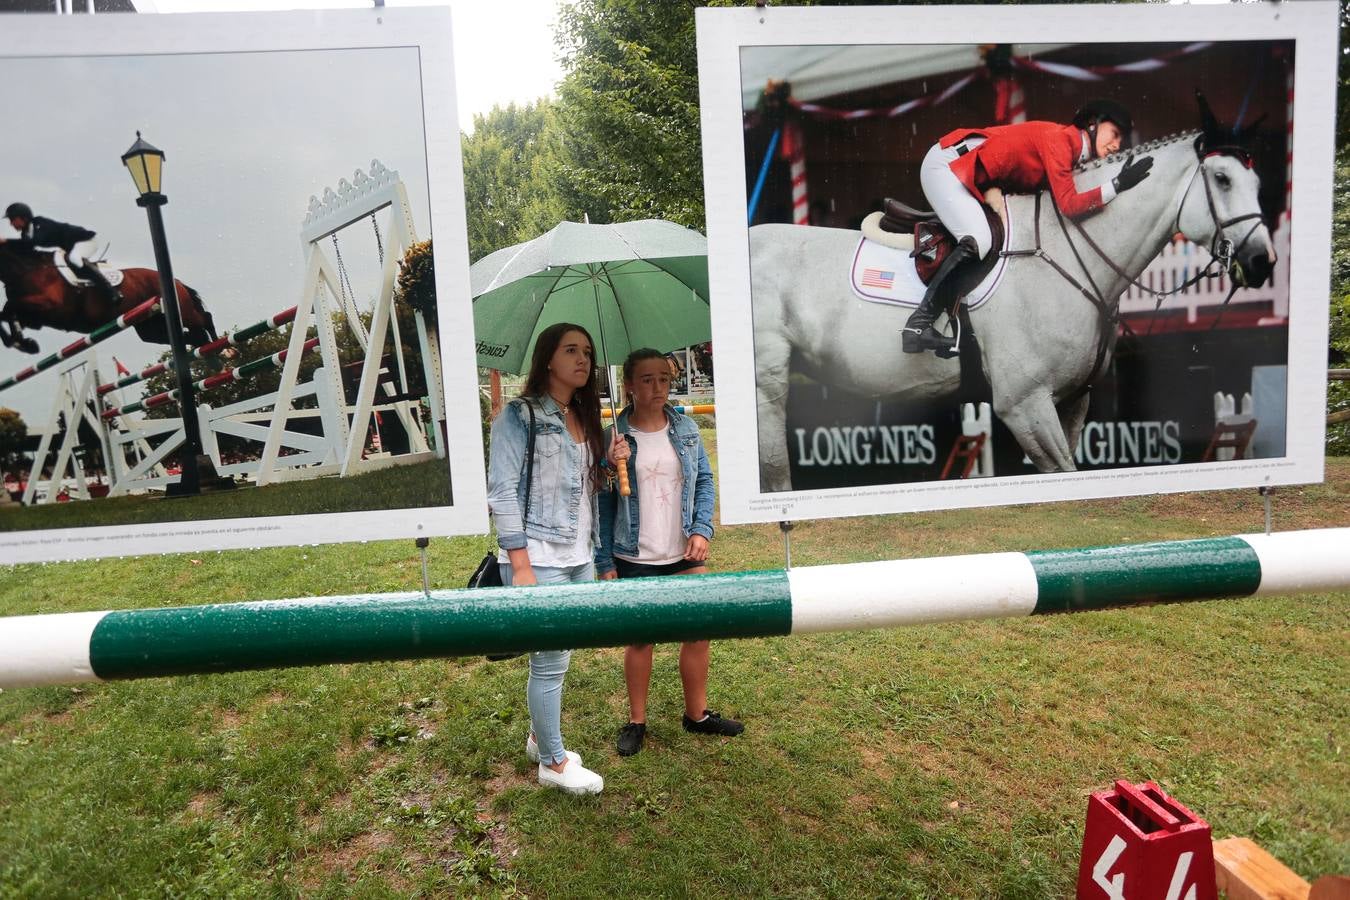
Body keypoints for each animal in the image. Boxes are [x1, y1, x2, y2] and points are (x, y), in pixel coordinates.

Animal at [0, 242, 216, 356]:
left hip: (183, 312)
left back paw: (219, 350)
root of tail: (176, 281)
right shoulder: (34, 318)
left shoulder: (50, 306)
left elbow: (9, 307)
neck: (27, 270)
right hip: (149, 327)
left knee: (205, 318)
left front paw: (24, 343)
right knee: (190, 335)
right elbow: (7, 313)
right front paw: (23, 343)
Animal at [756, 130, 1269, 488]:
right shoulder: (1024, 405)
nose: (1262, 262)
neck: (1066, 253)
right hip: (768, 385)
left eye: (1257, 181)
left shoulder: (1072, 400)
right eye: (1222, 179)